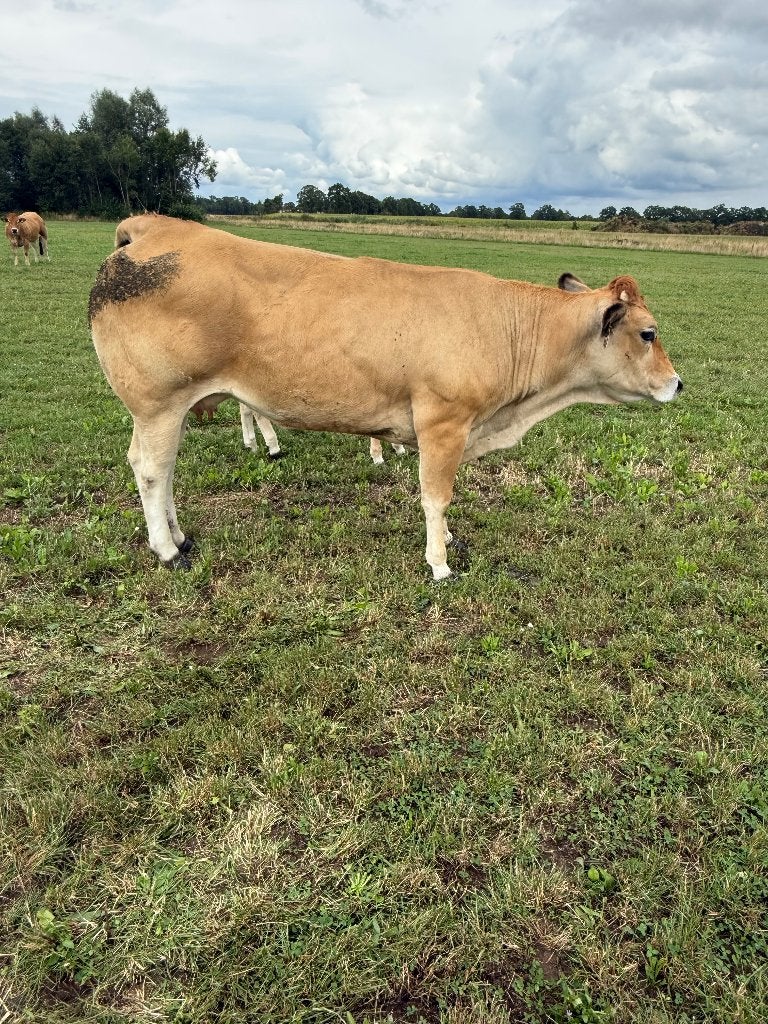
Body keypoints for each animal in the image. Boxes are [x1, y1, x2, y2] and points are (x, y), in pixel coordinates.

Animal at [89, 214, 682, 580]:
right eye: (648, 333)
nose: (678, 383)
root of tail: (150, 226)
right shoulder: (443, 423)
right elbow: (436, 496)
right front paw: (440, 563)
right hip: (157, 404)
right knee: (151, 470)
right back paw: (168, 550)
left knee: (165, 472)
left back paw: (181, 536)